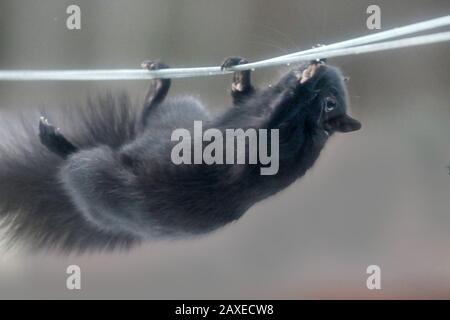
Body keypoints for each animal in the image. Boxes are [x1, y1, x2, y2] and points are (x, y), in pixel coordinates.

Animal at [0, 57, 360, 252]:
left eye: (331, 103)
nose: (321, 65)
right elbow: (247, 98)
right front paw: (240, 75)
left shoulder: (274, 149)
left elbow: (268, 128)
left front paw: (301, 83)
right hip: (181, 115)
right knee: (149, 116)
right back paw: (157, 84)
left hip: (96, 172)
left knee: (78, 160)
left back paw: (56, 142)